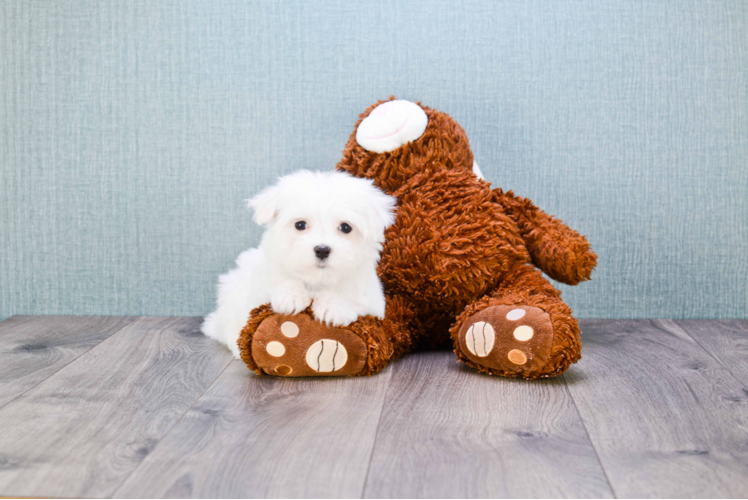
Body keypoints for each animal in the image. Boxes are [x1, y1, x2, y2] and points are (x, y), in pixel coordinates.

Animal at [199, 170, 398, 358]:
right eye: (300, 225)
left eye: (346, 227)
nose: (322, 249)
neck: (316, 279)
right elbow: (281, 280)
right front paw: (291, 298)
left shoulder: (373, 303)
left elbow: (346, 292)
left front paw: (333, 307)